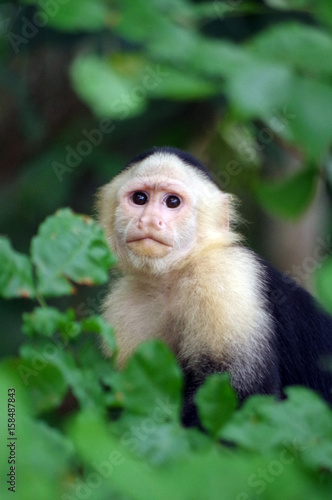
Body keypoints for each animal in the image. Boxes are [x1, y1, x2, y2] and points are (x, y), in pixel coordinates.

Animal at [97, 145, 332, 426]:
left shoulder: (223, 276)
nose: (150, 220)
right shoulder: (126, 307)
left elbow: (244, 399)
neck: (171, 278)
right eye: (140, 198)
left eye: (172, 202)